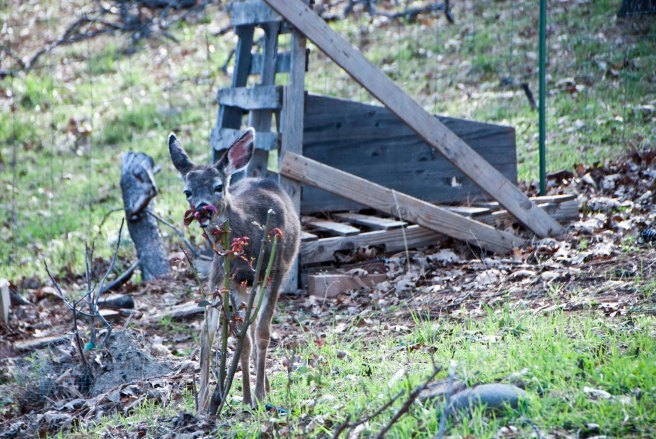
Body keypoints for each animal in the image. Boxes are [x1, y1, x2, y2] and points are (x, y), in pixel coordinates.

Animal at [168, 128, 300, 408]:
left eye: (218, 186)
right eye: (187, 192)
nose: (202, 209)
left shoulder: (277, 270)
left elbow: (262, 332)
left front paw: (259, 394)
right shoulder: (231, 279)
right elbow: (243, 338)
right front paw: (249, 397)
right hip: (232, 279)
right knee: (234, 329)